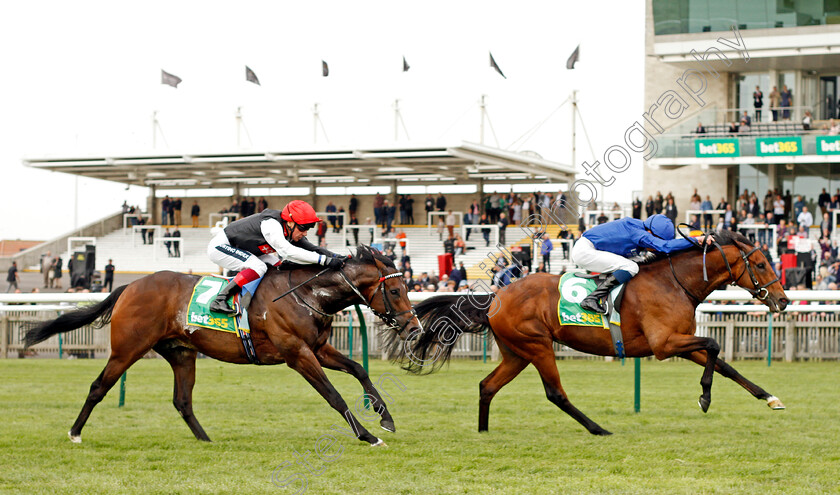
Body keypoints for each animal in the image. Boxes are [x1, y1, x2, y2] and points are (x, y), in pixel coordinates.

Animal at [24, 246, 418, 448]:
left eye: (407, 287)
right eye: (394, 289)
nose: (414, 328)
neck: (306, 293)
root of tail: (130, 286)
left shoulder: (318, 348)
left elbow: (359, 369)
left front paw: (385, 418)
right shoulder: (297, 354)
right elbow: (333, 395)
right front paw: (367, 435)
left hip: (181, 353)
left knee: (182, 400)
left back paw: (206, 440)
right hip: (127, 350)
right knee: (98, 386)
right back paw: (75, 432)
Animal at [392, 231, 788, 436]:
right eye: (760, 263)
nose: (783, 300)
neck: (673, 282)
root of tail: (495, 297)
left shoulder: (681, 343)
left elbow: (725, 363)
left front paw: (770, 398)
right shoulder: (664, 344)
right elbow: (715, 343)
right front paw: (704, 397)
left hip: (517, 352)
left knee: (487, 386)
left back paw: (484, 431)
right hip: (537, 346)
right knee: (555, 393)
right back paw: (598, 428)